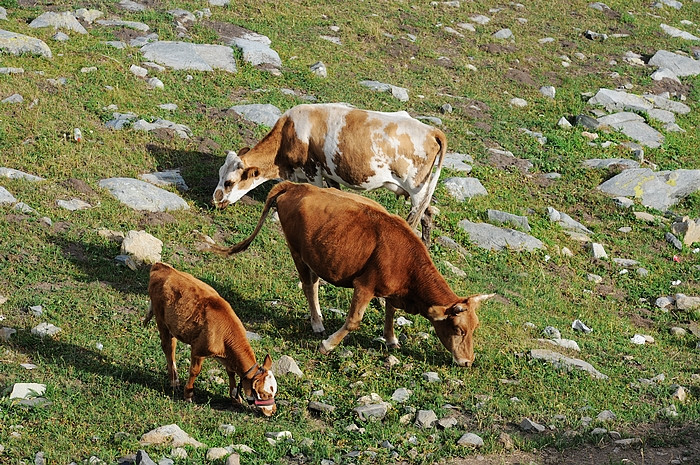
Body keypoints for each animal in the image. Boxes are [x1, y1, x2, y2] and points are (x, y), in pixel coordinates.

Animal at [144, 260, 276, 416]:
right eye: (265, 394)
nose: (273, 411)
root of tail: (161, 266)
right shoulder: (198, 350)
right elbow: (194, 371)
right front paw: (188, 395)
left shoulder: (226, 357)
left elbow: (231, 372)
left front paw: (235, 398)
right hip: (161, 319)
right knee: (168, 347)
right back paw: (174, 382)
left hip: (172, 325)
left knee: (172, 344)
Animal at [211, 181, 494, 366]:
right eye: (458, 329)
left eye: (475, 327)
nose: (468, 361)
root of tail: (297, 186)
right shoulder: (365, 285)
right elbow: (354, 320)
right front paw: (328, 345)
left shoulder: (392, 291)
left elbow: (391, 313)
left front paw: (391, 339)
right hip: (297, 251)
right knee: (309, 285)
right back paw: (317, 323)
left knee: (313, 283)